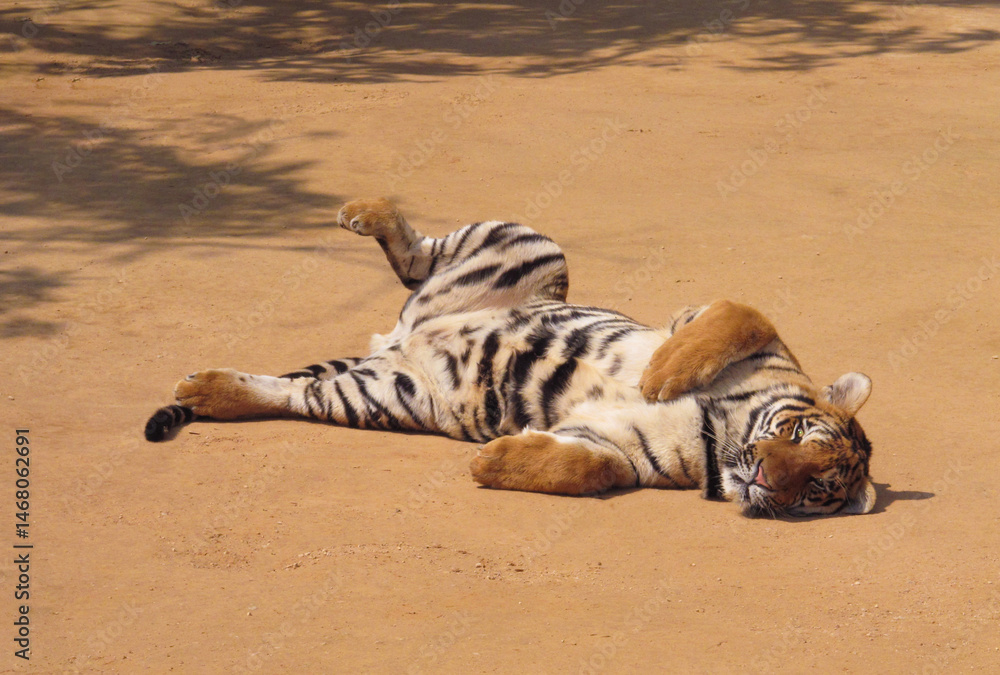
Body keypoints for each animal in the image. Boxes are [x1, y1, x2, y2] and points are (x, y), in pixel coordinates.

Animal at [144, 198, 877, 517]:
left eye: (816, 489)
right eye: (794, 436)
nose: (766, 481)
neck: (720, 436)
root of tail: (400, 336)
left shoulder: (620, 447)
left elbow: (588, 468)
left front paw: (493, 460)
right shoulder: (713, 320)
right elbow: (743, 313)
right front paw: (663, 373)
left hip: (383, 393)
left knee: (285, 390)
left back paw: (204, 388)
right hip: (530, 245)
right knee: (416, 252)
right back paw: (360, 211)